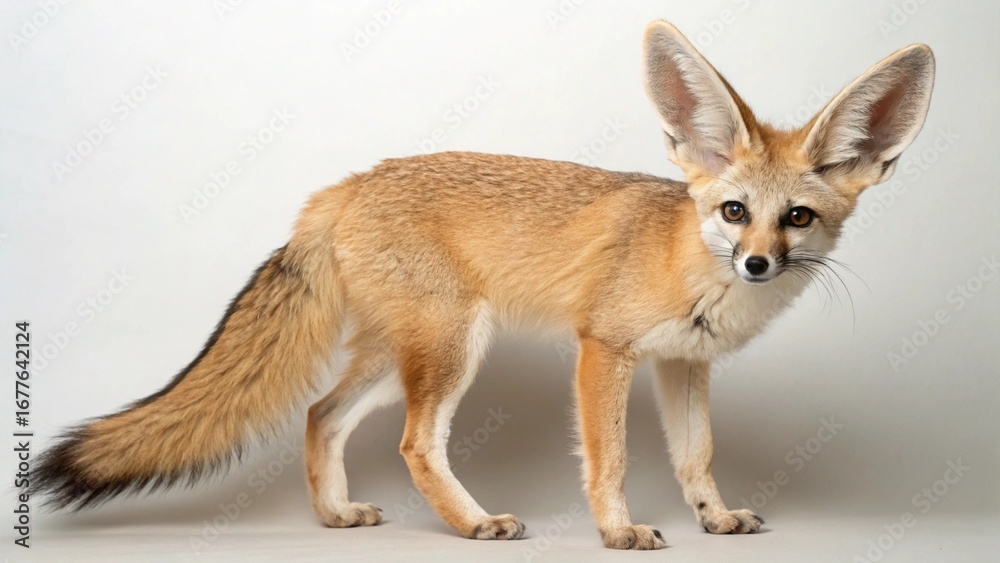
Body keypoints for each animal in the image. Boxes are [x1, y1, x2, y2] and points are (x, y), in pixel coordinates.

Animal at [32, 21, 935, 550]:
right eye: (736, 211)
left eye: (798, 219)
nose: (755, 263)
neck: (690, 263)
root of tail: (342, 187)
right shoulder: (603, 349)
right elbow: (611, 459)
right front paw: (617, 530)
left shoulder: (684, 365)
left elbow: (696, 457)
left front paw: (714, 517)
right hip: (451, 350)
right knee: (413, 444)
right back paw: (471, 521)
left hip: (394, 357)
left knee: (322, 415)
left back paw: (334, 516)